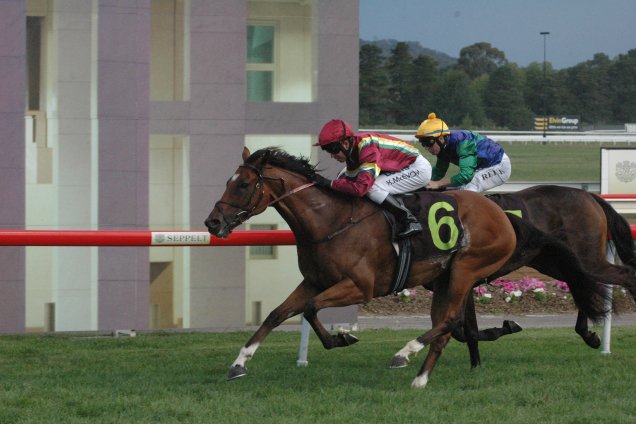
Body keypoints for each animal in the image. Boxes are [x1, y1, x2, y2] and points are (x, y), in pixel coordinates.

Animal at [202, 147, 608, 390]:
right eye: (229, 181)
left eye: (243, 184)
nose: (212, 222)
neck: (331, 220)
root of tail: (503, 215)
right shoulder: (314, 281)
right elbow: (276, 314)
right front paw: (239, 362)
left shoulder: (360, 286)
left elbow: (312, 309)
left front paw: (340, 338)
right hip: (446, 280)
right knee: (446, 327)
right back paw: (421, 377)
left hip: (465, 269)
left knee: (449, 323)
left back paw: (405, 355)